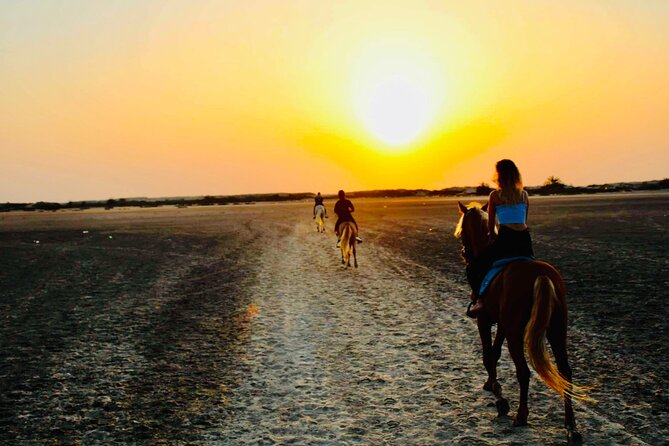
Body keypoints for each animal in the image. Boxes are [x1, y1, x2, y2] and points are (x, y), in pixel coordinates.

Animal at [454, 203, 584, 446]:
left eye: (463, 230)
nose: (464, 253)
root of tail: (541, 275)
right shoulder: (503, 324)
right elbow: (495, 353)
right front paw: (491, 383)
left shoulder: (485, 320)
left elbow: (487, 355)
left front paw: (499, 396)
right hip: (556, 330)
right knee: (565, 371)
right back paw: (571, 427)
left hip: (516, 333)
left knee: (523, 371)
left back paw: (521, 415)